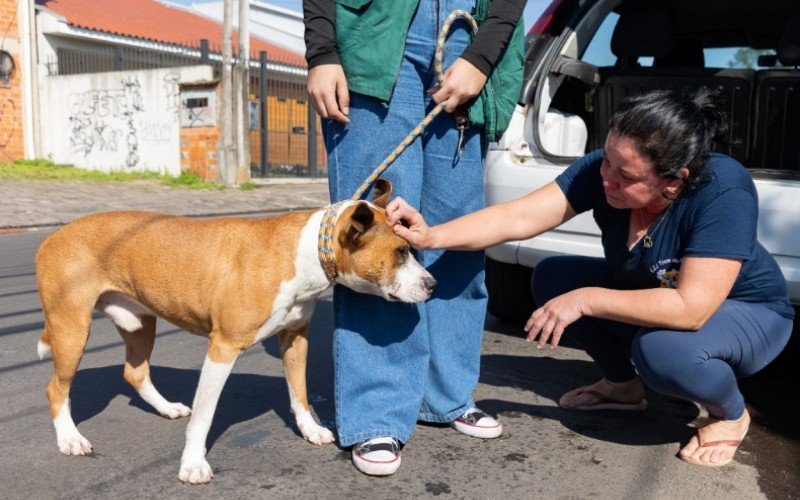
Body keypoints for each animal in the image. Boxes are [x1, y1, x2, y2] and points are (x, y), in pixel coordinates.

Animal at [34, 180, 434, 484]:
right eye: (401, 252)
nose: (432, 284)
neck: (307, 252)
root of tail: (52, 237)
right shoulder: (223, 348)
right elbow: (205, 415)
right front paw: (193, 463)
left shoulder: (295, 338)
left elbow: (300, 393)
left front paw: (309, 429)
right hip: (71, 327)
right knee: (56, 388)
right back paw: (70, 438)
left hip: (139, 322)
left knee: (135, 372)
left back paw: (166, 408)